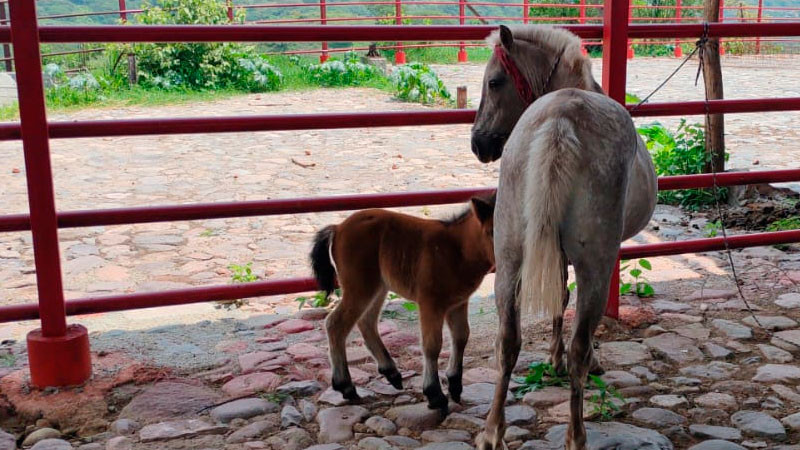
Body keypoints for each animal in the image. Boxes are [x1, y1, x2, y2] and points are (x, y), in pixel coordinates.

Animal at [309, 193, 496, 415]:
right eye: (490, 231)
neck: (456, 249)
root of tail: (338, 228)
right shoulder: (430, 303)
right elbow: (432, 345)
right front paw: (435, 395)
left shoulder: (458, 303)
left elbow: (461, 337)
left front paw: (455, 385)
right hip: (360, 286)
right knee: (336, 324)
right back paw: (346, 386)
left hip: (378, 286)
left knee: (366, 321)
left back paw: (391, 373)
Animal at [470, 25, 657, 450]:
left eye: (494, 81)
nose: (478, 143)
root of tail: (562, 120)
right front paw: (566, 359)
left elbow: (558, 297)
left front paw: (550, 358)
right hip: (596, 267)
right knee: (580, 349)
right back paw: (576, 434)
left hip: (509, 260)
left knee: (507, 343)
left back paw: (492, 432)